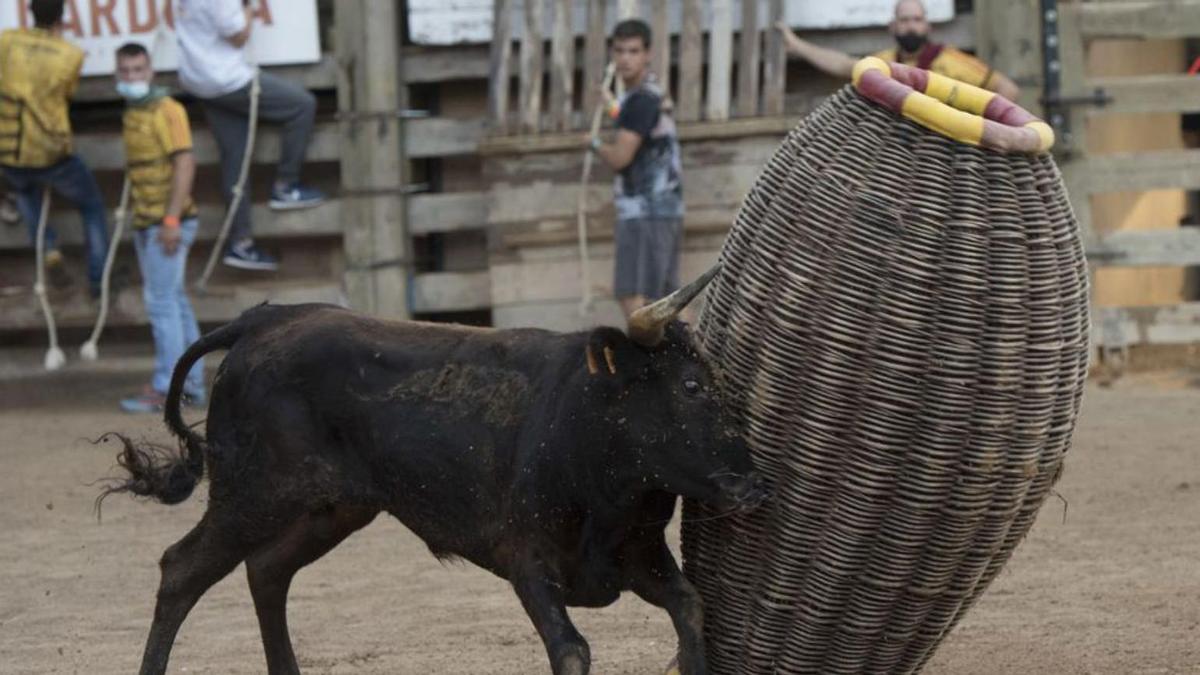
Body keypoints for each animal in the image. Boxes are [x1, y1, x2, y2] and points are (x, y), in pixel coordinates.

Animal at [100, 266, 758, 672]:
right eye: (692, 386)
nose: (754, 485)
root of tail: (267, 320)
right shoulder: (528, 562)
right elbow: (572, 650)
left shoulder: (640, 556)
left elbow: (690, 610)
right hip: (251, 496)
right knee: (182, 569)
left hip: (333, 509)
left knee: (266, 571)